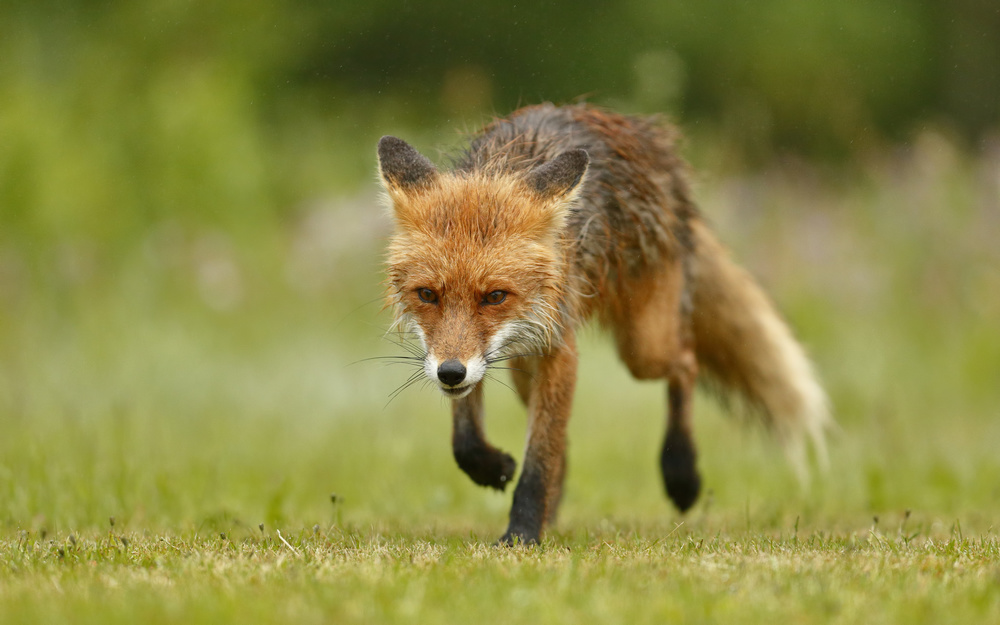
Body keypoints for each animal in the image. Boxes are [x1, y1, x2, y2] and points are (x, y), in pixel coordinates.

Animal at [376, 105, 828, 544]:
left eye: (495, 296)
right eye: (427, 295)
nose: (450, 374)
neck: (504, 163)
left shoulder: (558, 348)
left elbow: (539, 458)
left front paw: (522, 534)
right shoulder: (475, 354)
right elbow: (467, 440)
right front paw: (496, 469)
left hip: (643, 347)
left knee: (686, 361)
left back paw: (681, 473)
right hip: (525, 365)